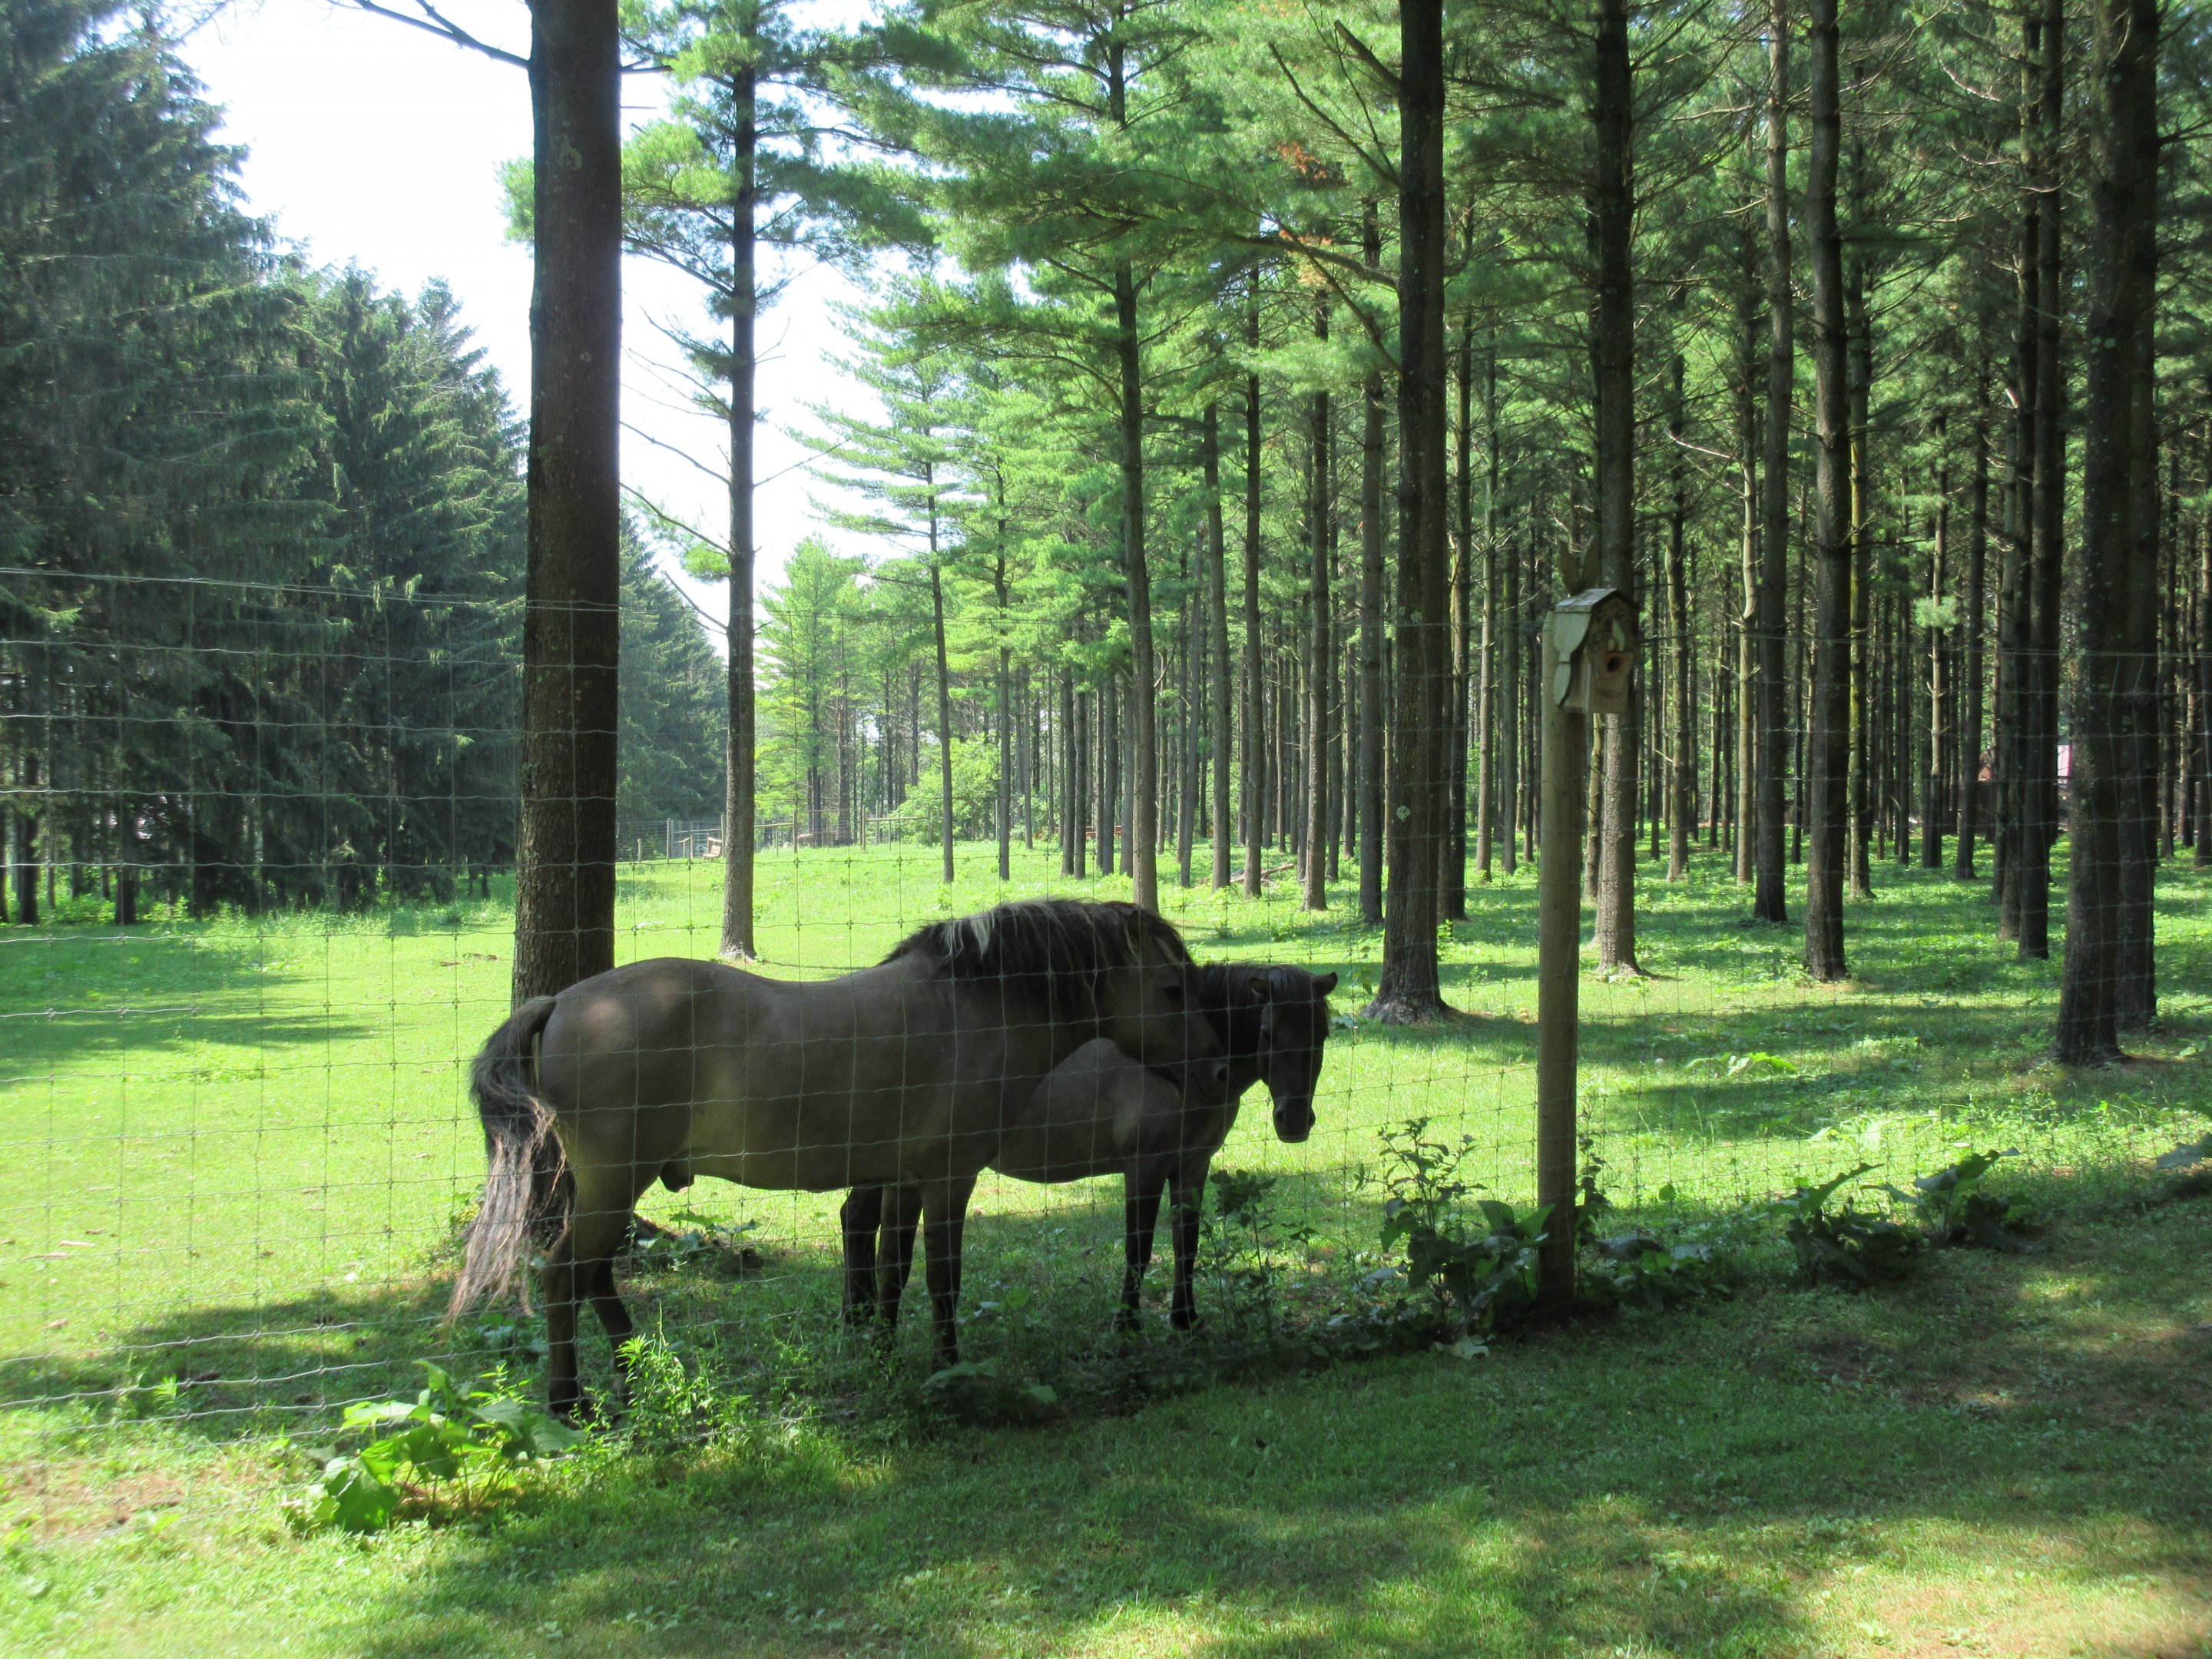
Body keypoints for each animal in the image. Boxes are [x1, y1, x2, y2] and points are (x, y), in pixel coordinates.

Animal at [448, 899, 1229, 1416]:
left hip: (610, 1189)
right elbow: (941, 1280)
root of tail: (559, 1002)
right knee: (563, 1276)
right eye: (1171, 989)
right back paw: (569, 1402)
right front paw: (949, 1370)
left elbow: (891, 1270)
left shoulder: (904, 1178)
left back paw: (635, 1374)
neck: (973, 1005)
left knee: (595, 1277)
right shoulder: (949, 1179)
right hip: (614, 1183)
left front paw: (884, 1354)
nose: (1218, 1070)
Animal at [843, 963, 1337, 1334]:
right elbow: (1139, 1250)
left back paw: (858, 1319)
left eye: (1324, 1034)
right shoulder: (1145, 1168)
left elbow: (1187, 1245)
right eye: (1268, 1032)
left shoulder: (1192, 1168)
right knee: (860, 1221)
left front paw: (1185, 1320)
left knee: (857, 1219)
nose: (1294, 1121)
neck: (1180, 1069)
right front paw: (1127, 1324)